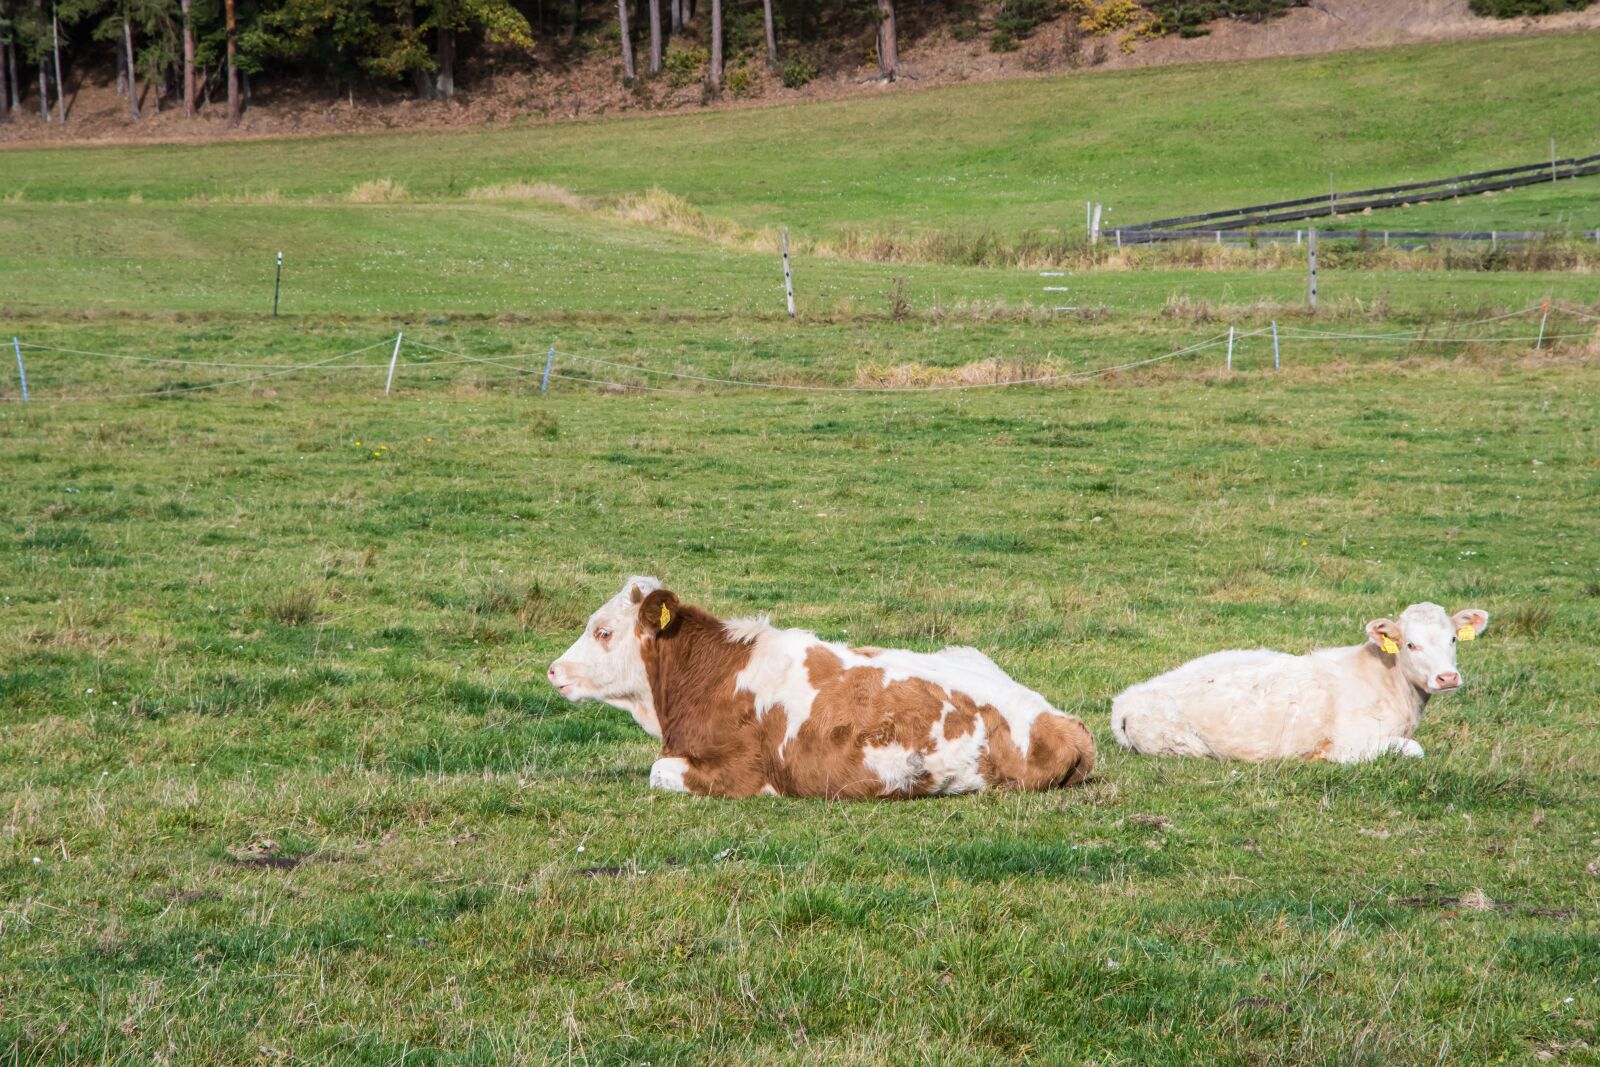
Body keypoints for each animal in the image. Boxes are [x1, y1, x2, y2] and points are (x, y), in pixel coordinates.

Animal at [1109, 603, 1489, 763]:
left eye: (1453, 639)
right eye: (1411, 644)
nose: (1447, 677)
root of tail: (1125, 700)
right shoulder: (1352, 744)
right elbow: (1414, 750)